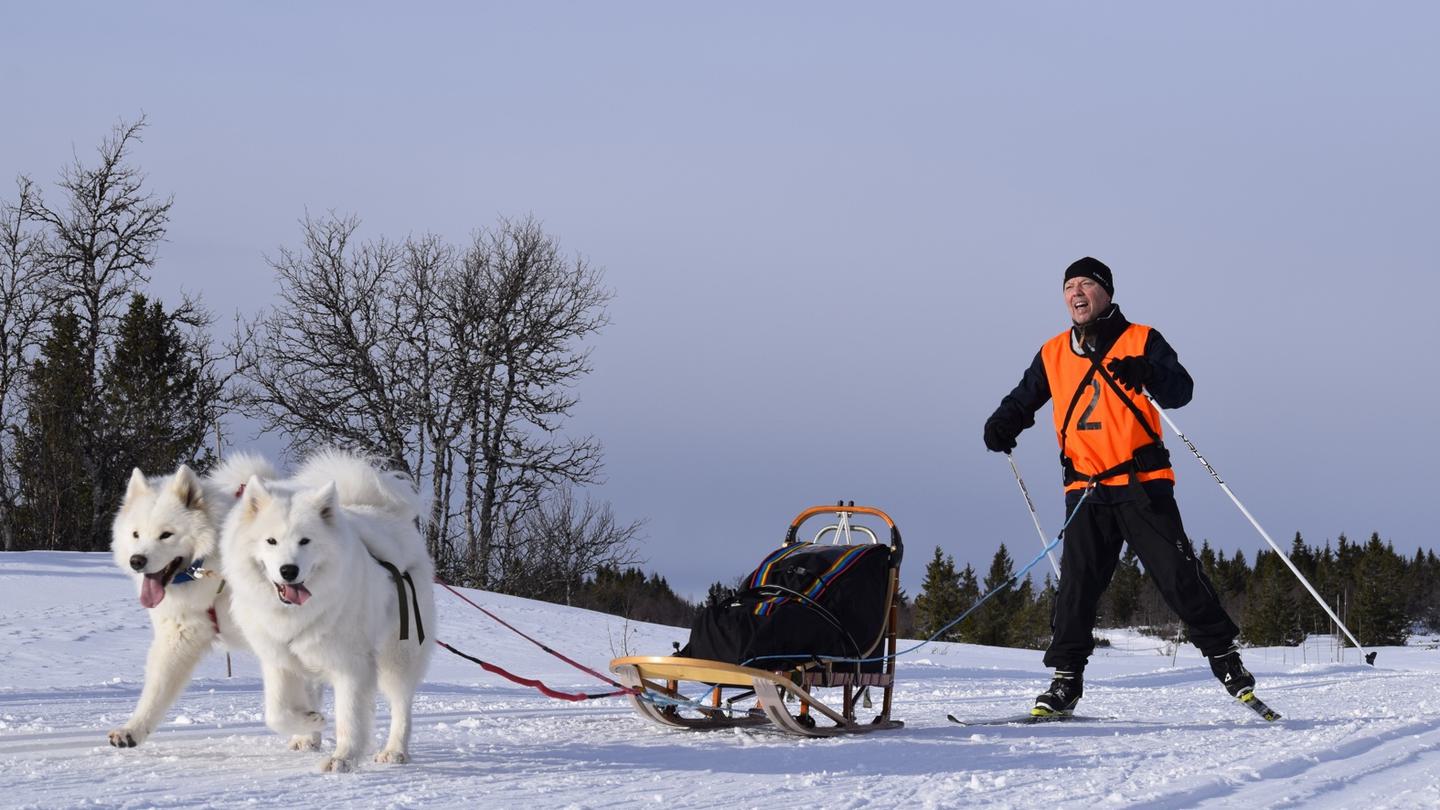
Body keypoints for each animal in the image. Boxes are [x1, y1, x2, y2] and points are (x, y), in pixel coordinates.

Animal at [108, 449, 321, 749]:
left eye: (166, 534)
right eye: (136, 534)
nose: (137, 561)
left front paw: (308, 730)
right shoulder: (179, 637)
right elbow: (155, 692)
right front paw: (132, 731)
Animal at [217, 446, 432, 766]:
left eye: (305, 541)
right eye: (271, 541)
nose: (289, 571)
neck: (293, 613)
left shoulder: (351, 663)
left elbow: (349, 717)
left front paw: (342, 758)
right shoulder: (278, 658)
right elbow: (276, 712)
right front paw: (310, 721)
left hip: (397, 654)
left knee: (401, 704)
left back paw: (394, 751)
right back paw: (307, 738)